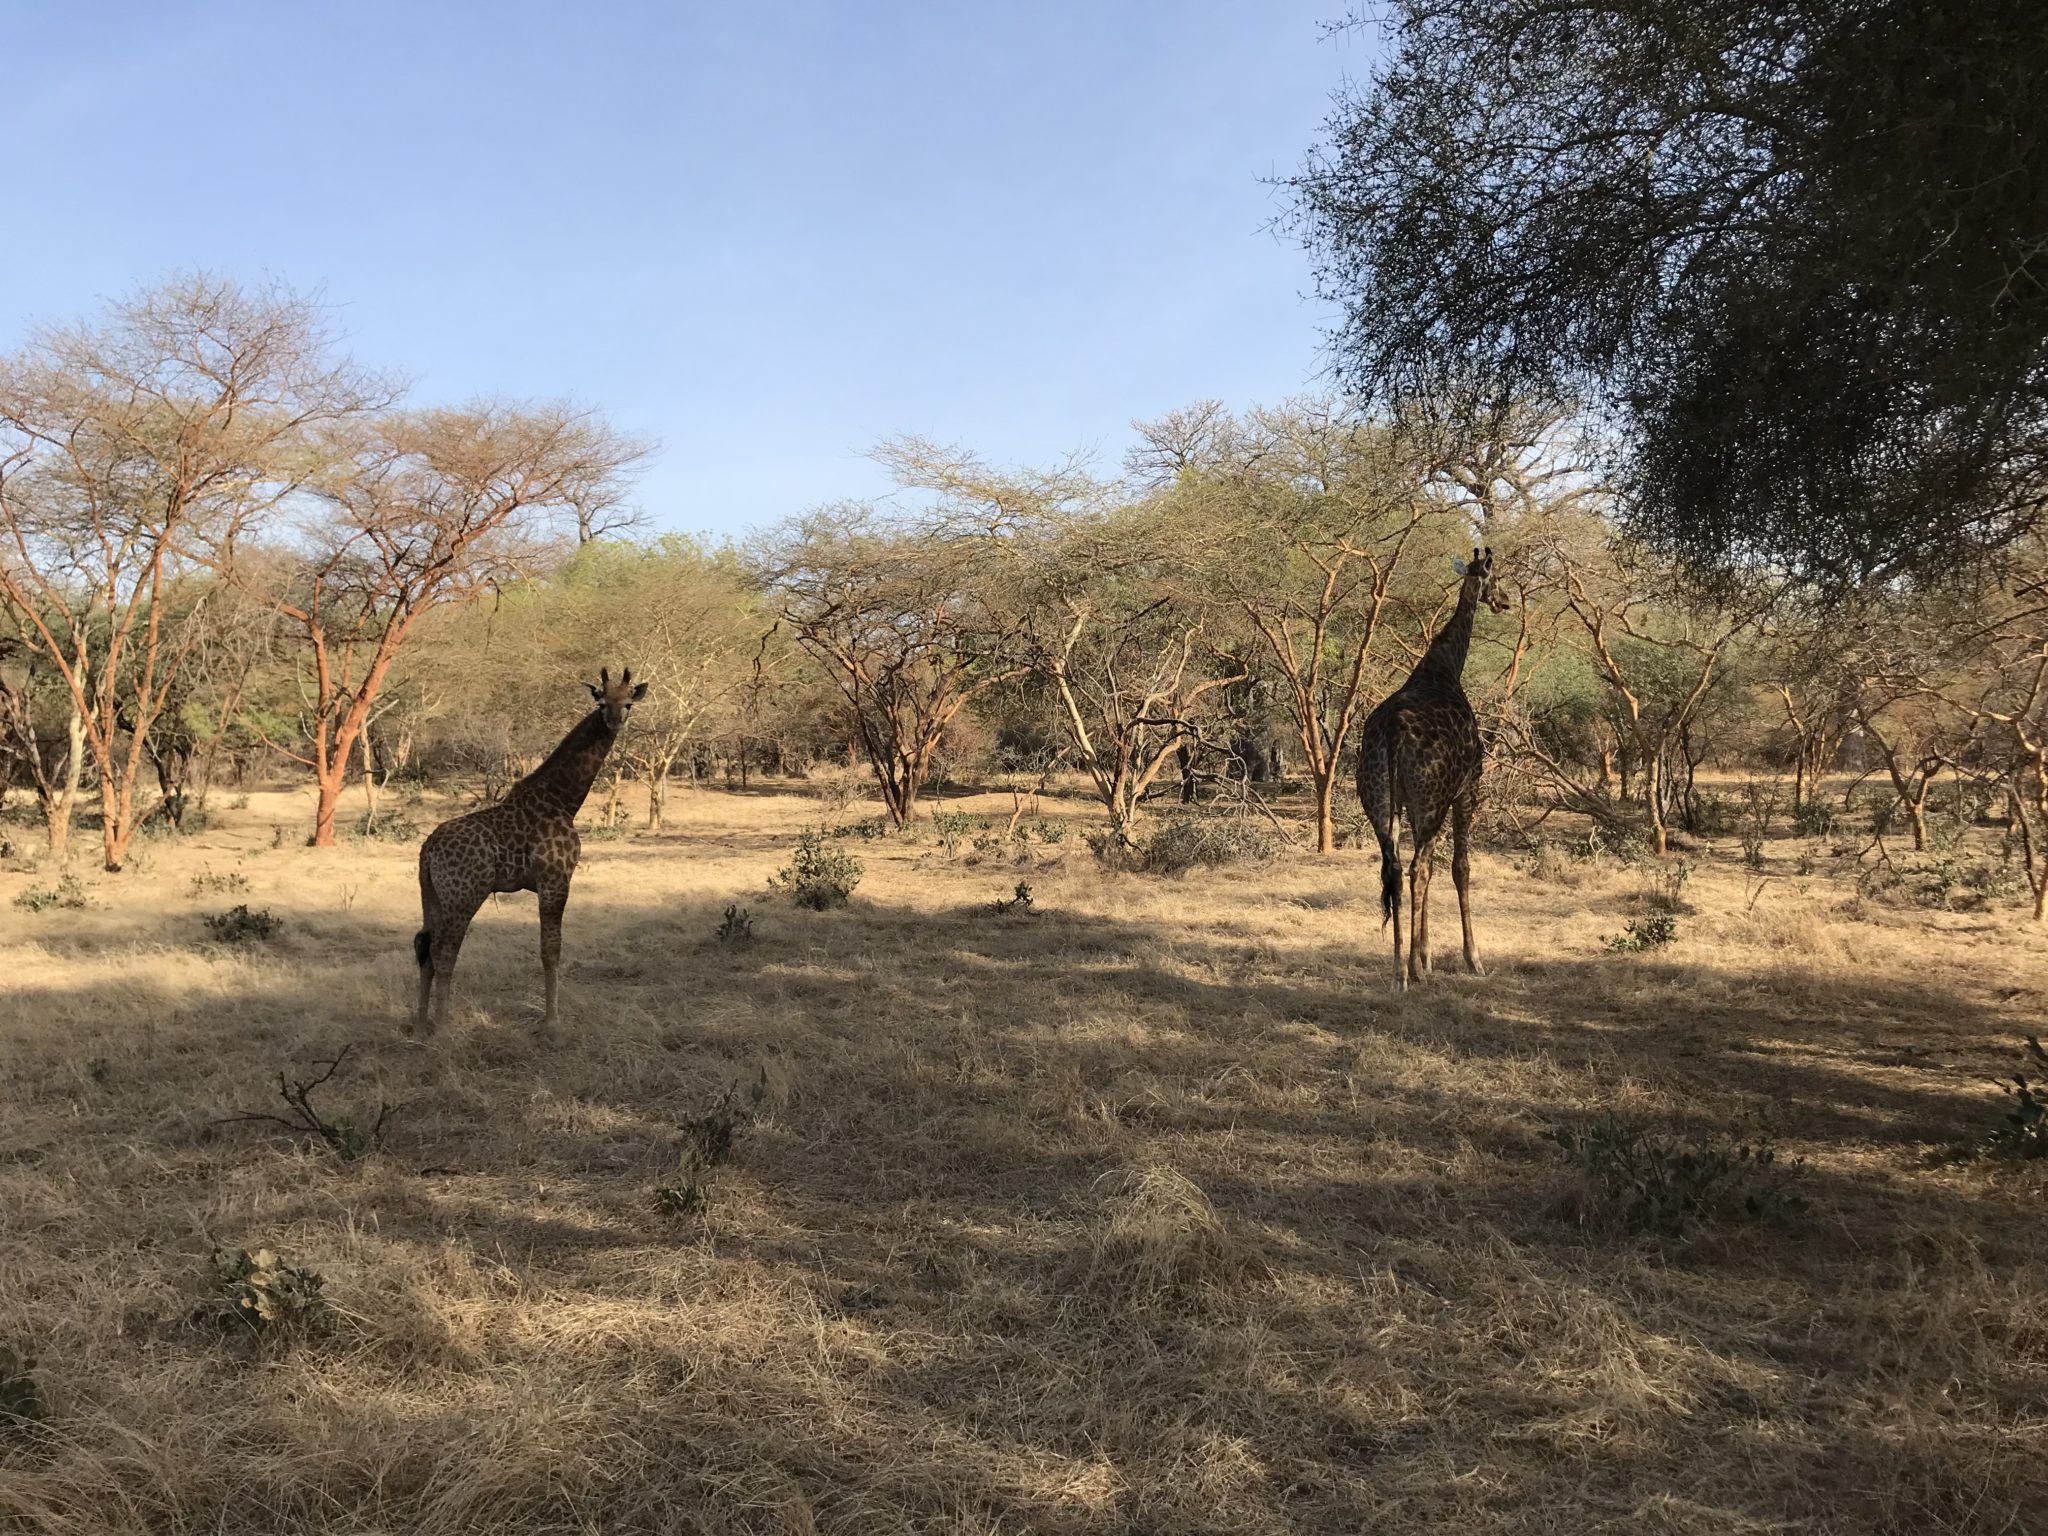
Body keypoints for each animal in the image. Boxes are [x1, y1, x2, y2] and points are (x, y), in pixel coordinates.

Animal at [411, 671, 643, 1040]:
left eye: (629, 702)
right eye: (602, 702)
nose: (615, 720)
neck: (563, 799)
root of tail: (427, 849)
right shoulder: (555, 880)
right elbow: (551, 950)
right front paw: (552, 1022)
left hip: (431, 894)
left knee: (424, 946)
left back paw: (421, 1024)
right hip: (464, 895)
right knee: (444, 950)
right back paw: (444, 1027)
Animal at [1359, 548, 1507, 991]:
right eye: (1498, 578)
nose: (1504, 601)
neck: (1446, 667)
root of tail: (1393, 731)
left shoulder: (1410, 801)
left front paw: (1424, 957)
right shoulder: (1466, 788)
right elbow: (1460, 867)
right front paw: (1471, 959)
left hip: (1380, 800)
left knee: (1394, 870)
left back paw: (1398, 972)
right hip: (1432, 800)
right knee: (1417, 869)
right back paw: (1410, 971)